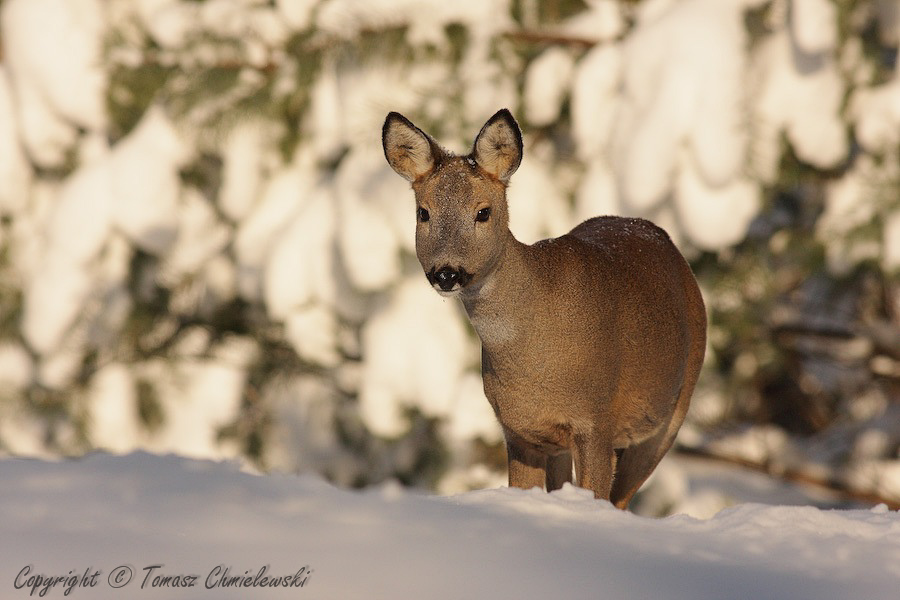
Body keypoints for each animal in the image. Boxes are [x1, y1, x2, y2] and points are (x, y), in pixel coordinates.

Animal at [384, 108, 708, 506]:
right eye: (423, 213)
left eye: (483, 212)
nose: (446, 273)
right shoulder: (519, 430)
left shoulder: (595, 420)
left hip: (672, 412)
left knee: (622, 499)